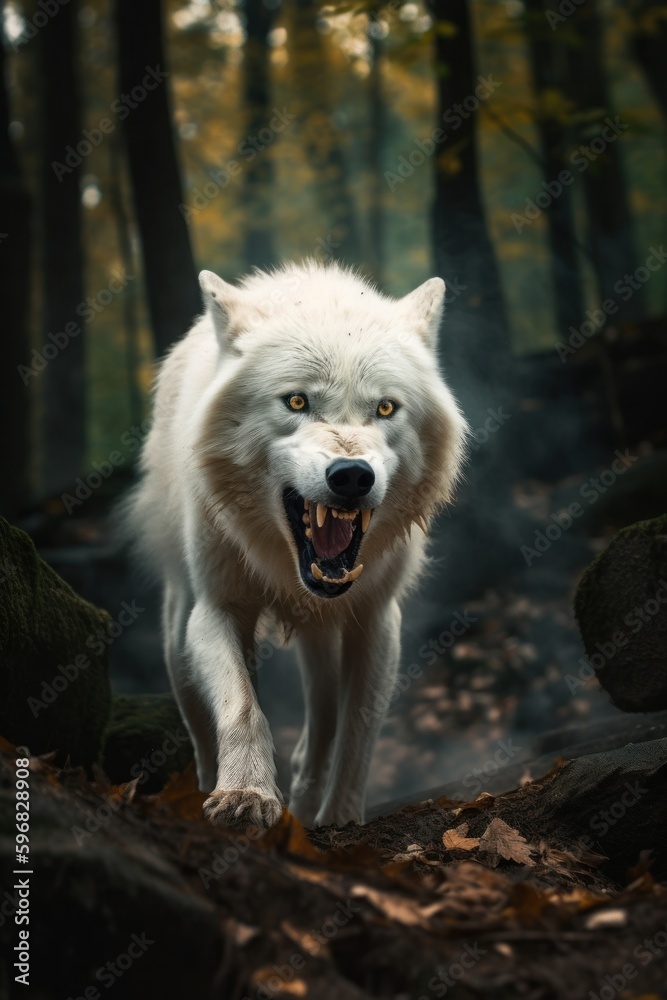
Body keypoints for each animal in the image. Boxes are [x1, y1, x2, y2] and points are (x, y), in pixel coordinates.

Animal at [125, 261, 467, 829]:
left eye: (386, 407)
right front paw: (246, 794)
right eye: (298, 401)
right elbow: (243, 707)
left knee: (323, 719)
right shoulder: (218, 610)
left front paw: (341, 818)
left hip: (323, 637)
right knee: (200, 725)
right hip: (178, 630)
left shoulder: (376, 618)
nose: (351, 475)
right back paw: (204, 787)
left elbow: (357, 732)